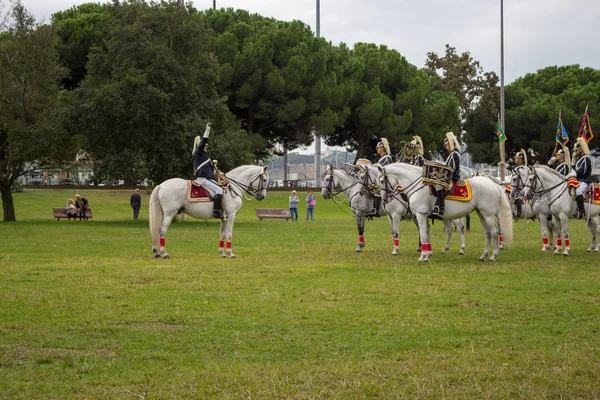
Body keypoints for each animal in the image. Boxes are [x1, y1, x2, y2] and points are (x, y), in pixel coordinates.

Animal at [380, 163, 510, 262]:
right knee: (487, 233)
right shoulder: (422, 217)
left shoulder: (420, 216)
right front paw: (427, 255)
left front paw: (422, 256)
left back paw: (493, 256)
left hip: (488, 215)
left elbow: (423, 235)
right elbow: (426, 235)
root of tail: (494, 185)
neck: (418, 187)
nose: (385, 199)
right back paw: (483, 256)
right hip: (481, 214)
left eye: (381, 180)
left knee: (494, 232)